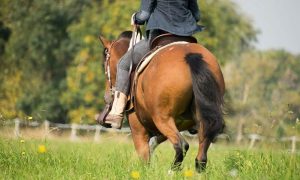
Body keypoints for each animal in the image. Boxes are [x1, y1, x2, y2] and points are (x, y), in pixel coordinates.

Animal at [99, 31, 225, 173]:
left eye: (104, 64)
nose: (106, 96)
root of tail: (191, 55)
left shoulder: (138, 129)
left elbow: (144, 156)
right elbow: (152, 144)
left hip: (162, 119)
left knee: (181, 145)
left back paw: (171, 172)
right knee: (201, 155)